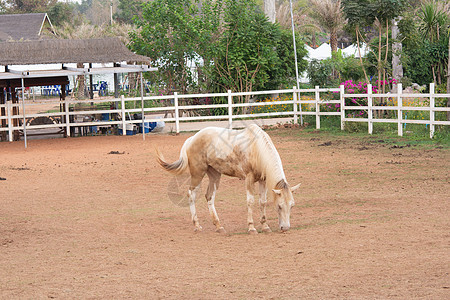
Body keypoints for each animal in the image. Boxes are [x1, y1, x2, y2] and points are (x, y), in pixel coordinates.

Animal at [156, 124, 300, 234]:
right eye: (279, 206)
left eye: (292, 206)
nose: (285, 228)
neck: (256, 148)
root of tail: (192, 139)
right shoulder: (249, 179)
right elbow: (250, 202)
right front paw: (251, 227)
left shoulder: (262, 180)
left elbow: (262, 202)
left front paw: (265, 226)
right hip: (198, 174)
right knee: (191, 195)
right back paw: (197, 226)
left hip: (214, 175)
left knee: (209, 196)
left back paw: (218, 226)